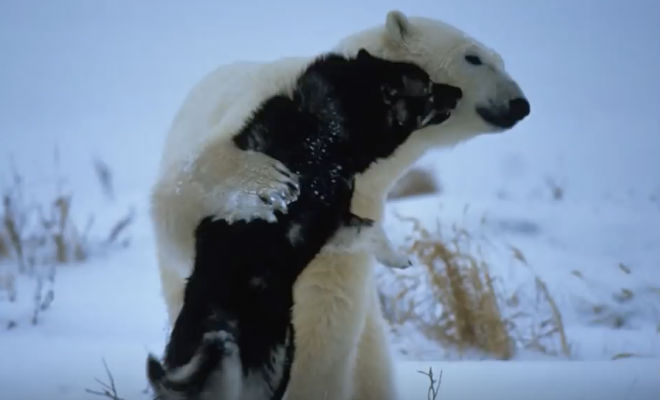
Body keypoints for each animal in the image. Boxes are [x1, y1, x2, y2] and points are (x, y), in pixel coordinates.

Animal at [152, 8, 528, 400]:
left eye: (501, 59)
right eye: (473, 58)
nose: (520, 104)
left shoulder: (359, 210)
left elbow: (329, 317)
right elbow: (180, 197)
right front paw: (269, 181)